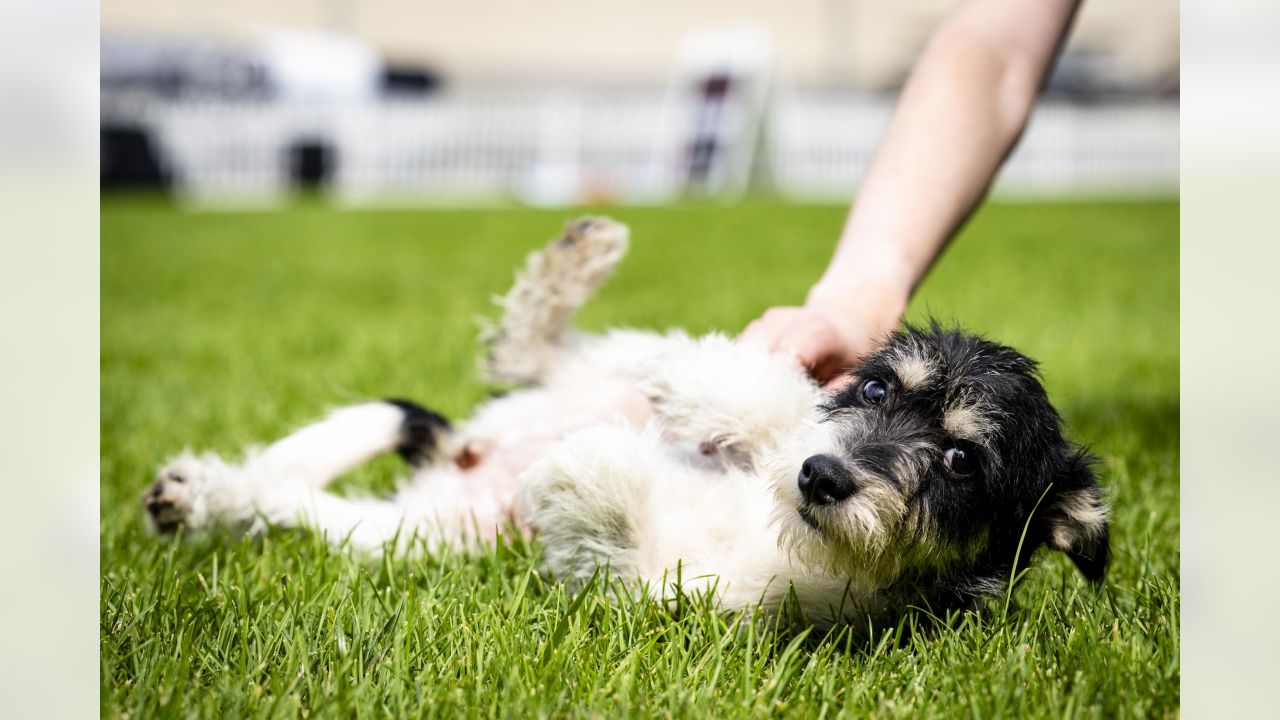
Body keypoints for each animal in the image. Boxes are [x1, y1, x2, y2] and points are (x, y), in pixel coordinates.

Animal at [142, 215, 1111, 625]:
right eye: (876, 390)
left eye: (961, 464)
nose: (823, 476)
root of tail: (477, 449)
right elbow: (768, 394)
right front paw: (707, 387)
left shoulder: (677, 596)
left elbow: (619, 521)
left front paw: (587, 469)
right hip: (577, 372)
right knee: (537, 347)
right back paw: (577, 267)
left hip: (407, 538)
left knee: (286, 499)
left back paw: (200, 497)